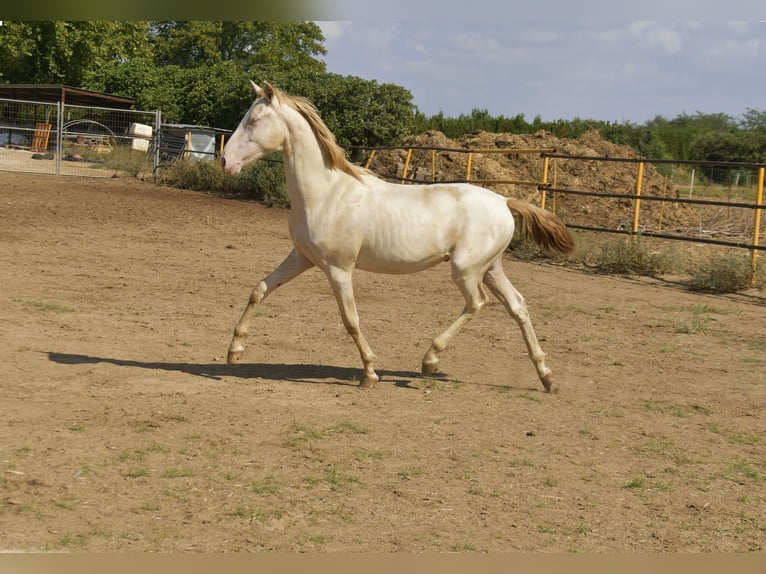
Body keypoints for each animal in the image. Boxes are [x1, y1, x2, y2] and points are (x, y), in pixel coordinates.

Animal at [219, 81, 572, 394]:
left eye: (254, 119)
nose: (225, 161)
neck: (327, 194)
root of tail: (503, 201)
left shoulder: (339, 269)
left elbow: (351, 320)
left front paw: (370, 373)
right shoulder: (302, 257)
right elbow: (260, 289)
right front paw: (234, 352)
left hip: (466, 270)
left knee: (477, 304)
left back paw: (430, 361)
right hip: (491, 269)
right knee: (518, 306)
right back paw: (547, 378)